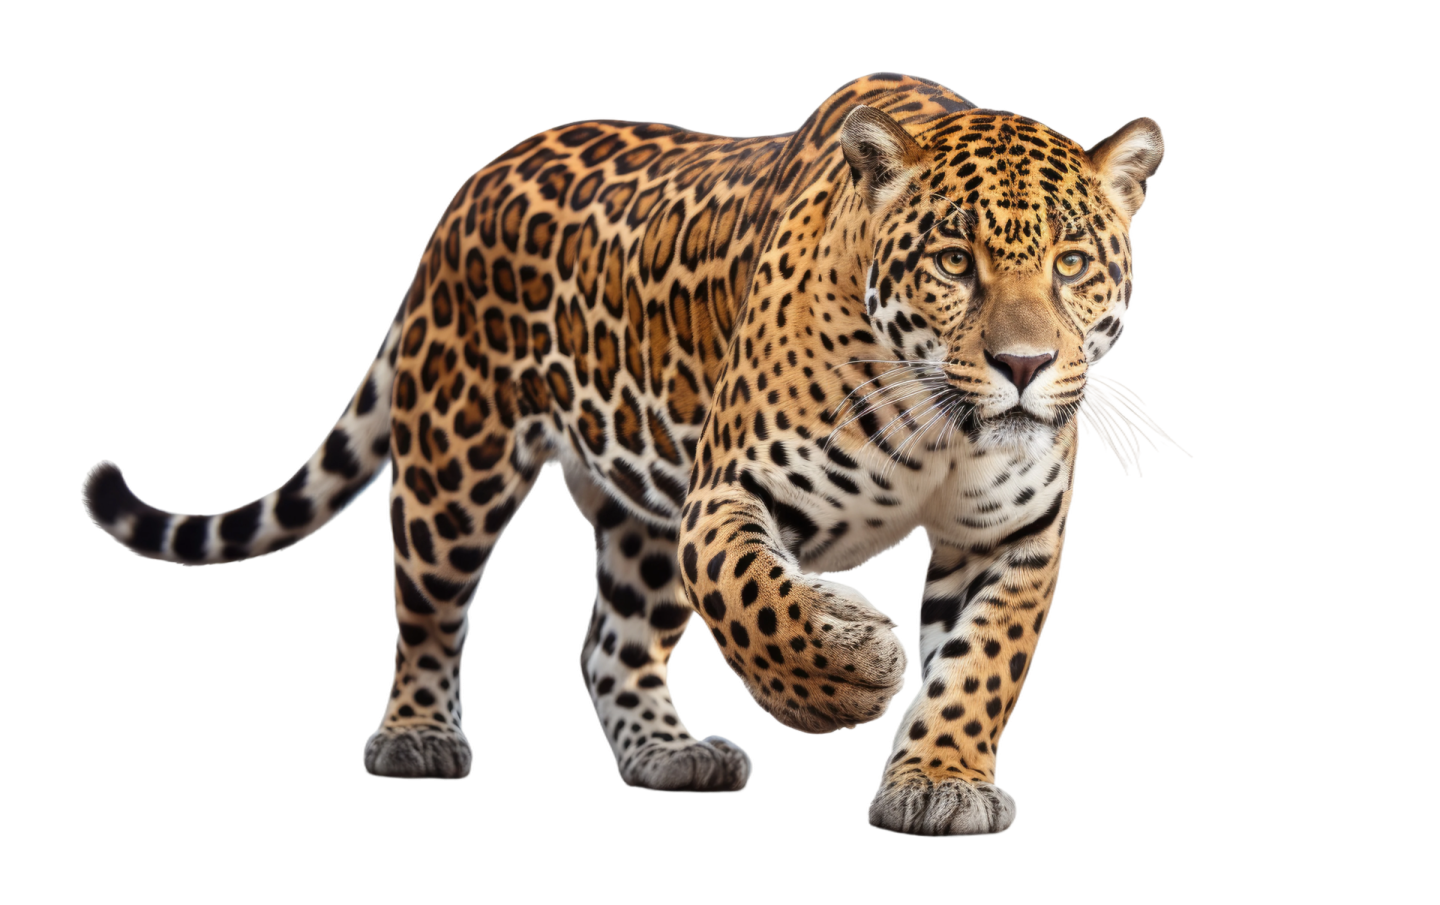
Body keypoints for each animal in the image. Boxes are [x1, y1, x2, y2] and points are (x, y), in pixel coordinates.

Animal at [80, 71, 1167, 837]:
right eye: (953, 260)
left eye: (1072, 263)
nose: (1024, 364)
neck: (942, 425)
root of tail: (473, 184)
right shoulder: (727, 494)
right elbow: (755, 599)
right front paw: (843, 672)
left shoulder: (1011, 536)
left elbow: (983, 666)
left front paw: (940, 781)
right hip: (456, 460)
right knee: (427, 607)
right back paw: (417, 736)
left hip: (636, 505)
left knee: (610, 642)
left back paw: (669, 754)